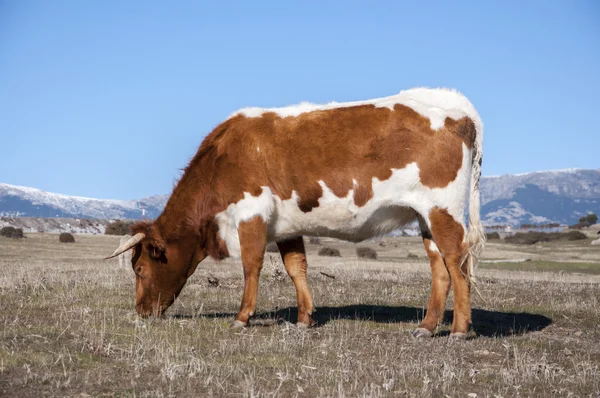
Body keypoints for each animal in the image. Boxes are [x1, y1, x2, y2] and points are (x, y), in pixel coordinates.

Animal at [105, 87, 486, 338]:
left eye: (139, 268)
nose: (141, 311)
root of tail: (456, 105)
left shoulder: (251, 213)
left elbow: (251, 265)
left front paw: (242, 317)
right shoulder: (287, 226)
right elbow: (296, 268)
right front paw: (304, 318)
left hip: (443, 209)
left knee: (456, 261)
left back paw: (459, 329)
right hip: (425, 217)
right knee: (439, 267)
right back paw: (426, 327)